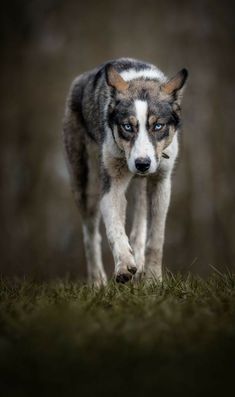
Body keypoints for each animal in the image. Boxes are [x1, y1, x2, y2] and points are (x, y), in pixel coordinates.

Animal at [63, 57, 188, 284]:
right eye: (127, 127)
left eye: (158, 126)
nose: (142, 163)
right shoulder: (111, 184)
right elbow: (115, 229)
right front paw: (123, 267)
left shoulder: (161, 182)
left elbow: (156, 237)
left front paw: (153, 279)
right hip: (85, 184)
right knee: (90, 235)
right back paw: (97, 281)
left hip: (140, 186)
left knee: (139, 227)